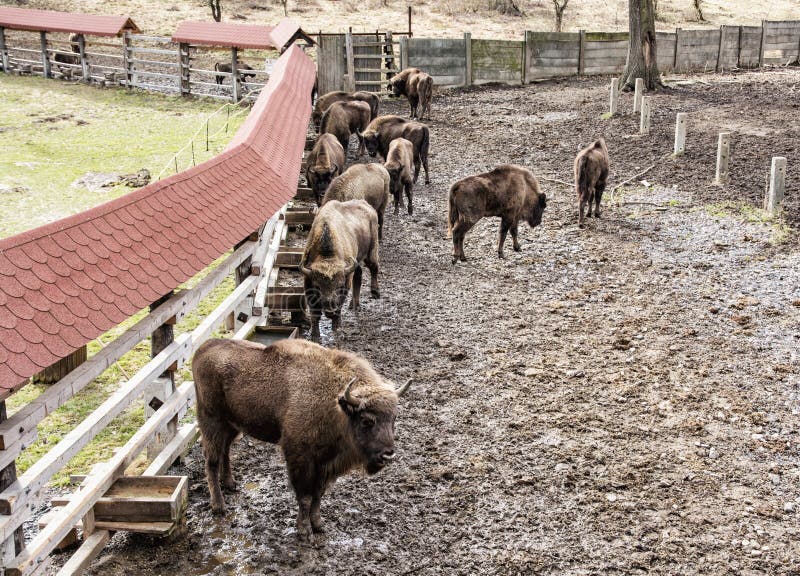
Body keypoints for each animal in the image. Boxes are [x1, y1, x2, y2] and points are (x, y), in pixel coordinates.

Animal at [193, 337, 411, 541]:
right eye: (367, 420)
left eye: (394, 418)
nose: (388, 454)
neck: (334, 403)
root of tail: (202, 348)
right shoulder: (301, 459)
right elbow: (305, 497)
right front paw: (304, 531)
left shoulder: (324, 464)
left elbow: (318, 495)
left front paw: (319, 524)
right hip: (212, 422)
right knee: (211, 460)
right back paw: (219, 506)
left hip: (232, 426)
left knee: (225, 451)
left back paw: (230, 484)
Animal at [301, 199, 380, 340]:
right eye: (318, 287)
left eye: (338, 286)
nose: (329, 310)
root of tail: (367, 205)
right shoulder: (308, 282)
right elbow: (315, 313)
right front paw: (315, 335)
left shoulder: (345, 282)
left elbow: (339, 305)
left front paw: (336, 327)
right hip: (357, 261)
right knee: (358, 275)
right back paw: (354, 304)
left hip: (371, 250)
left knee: (374, 268)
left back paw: (375, 292)